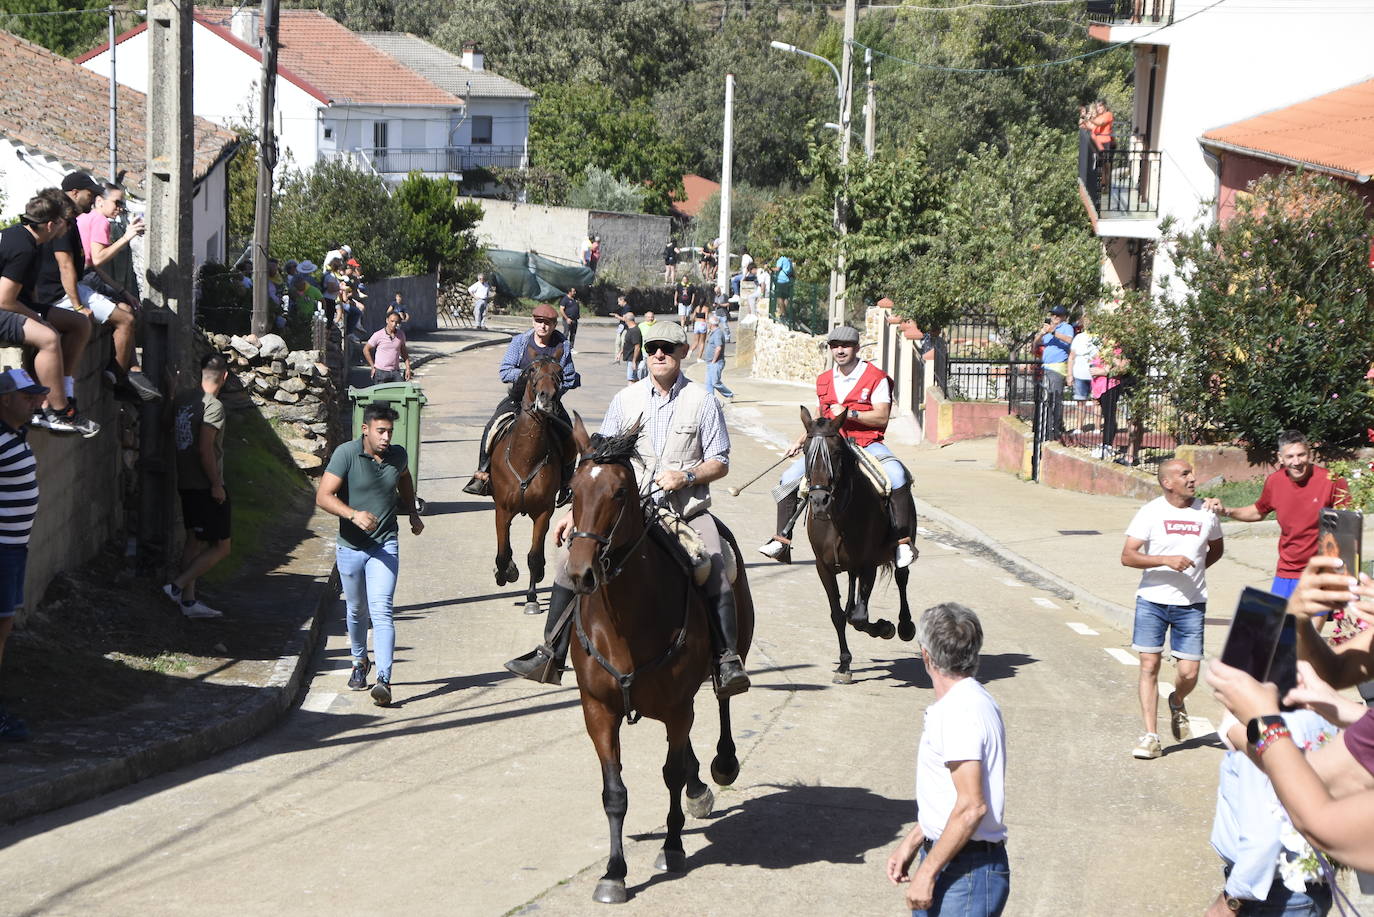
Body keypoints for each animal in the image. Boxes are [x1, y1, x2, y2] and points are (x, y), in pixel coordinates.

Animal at [489, 351, 568, 615]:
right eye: (532, 370)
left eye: (560, 372)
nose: (547, 398)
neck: (525, 457)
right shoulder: (502, 510)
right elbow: (503, 553)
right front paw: (505, 573)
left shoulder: (543, 512)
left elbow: (533, 556)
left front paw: (531, 598)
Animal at [560, 420, 752, 901]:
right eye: (573, 488)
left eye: (619, 492)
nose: (580, 573)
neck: (625, 623)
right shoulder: (599, 710)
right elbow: (614, 791)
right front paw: (614, 873)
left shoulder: (678, 707)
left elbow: (671, 773)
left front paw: (672, 847)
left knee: (723, 699)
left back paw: (721, 765)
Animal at [802, 406, 917, 681]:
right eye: (805, 451)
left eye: (835, 452)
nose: (819, 501)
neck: (838, 518)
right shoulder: (823, 567)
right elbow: (838, 615)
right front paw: (844, 664)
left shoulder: (868, 565)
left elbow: (859, 618)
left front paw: (885, 628)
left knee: (902, 578)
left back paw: (905, 626)